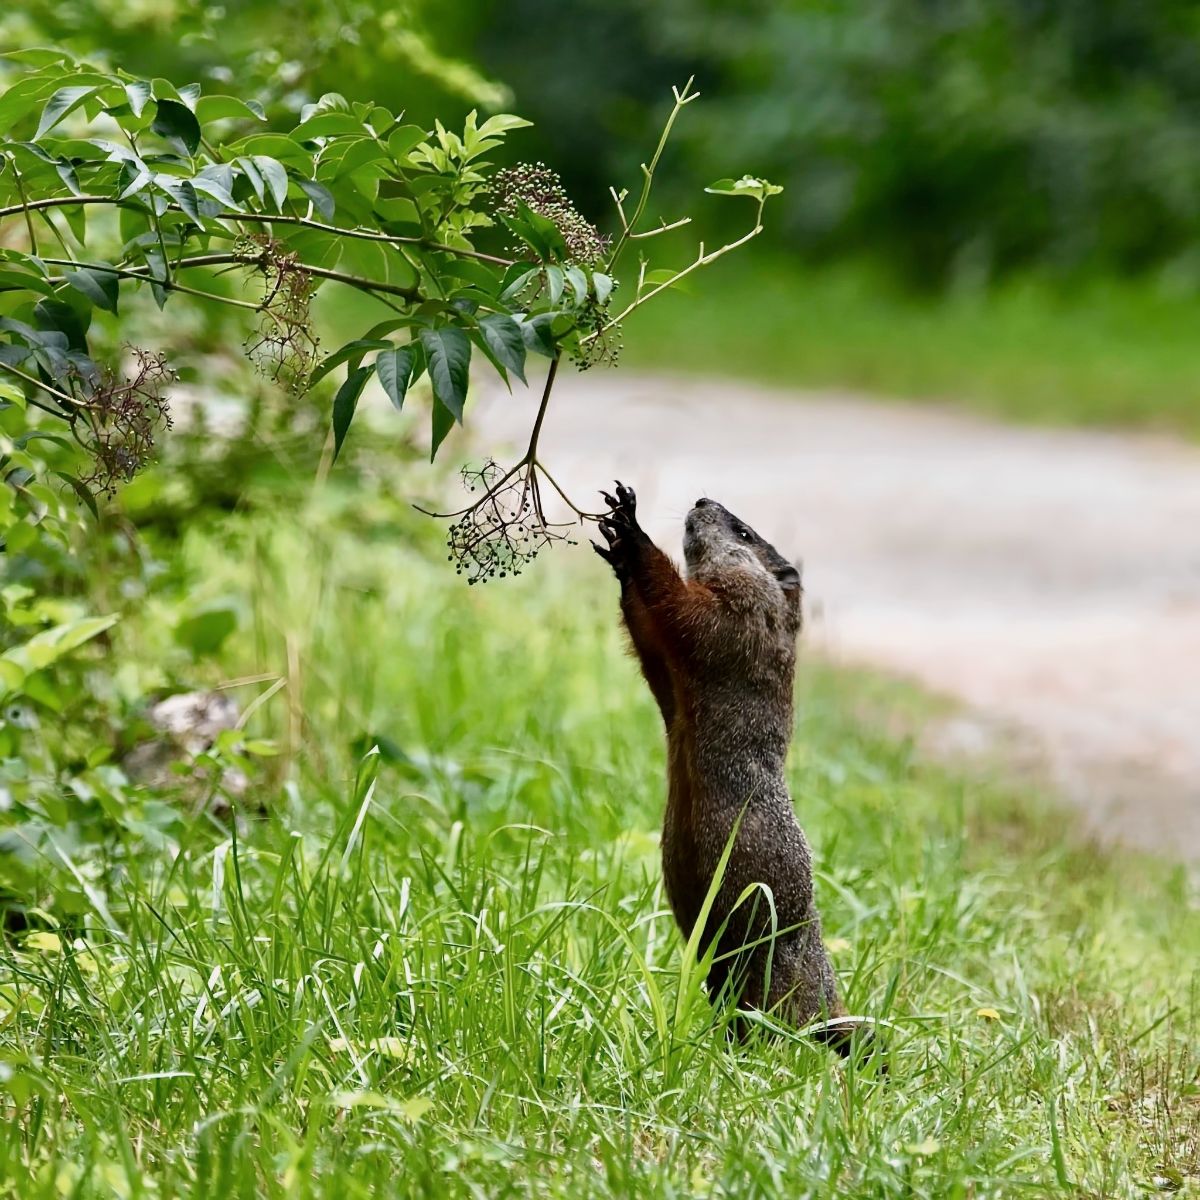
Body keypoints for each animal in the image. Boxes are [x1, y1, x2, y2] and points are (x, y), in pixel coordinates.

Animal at [592, 482, 868, 1056]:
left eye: (743, 531)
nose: (701, 500)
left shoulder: (745, 608)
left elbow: (693, 615)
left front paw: (632, 530)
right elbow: (654, 641)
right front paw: (617, 548)